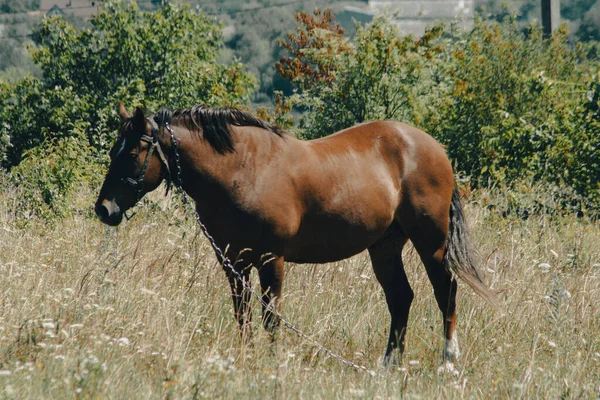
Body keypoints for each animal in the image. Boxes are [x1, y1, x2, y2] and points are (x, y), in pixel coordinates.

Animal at [95, 102, 496, 368]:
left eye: (132, 153)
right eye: (115, 150)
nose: (104, 209)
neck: (242, 170)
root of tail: (434, 148)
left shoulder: (272, 259)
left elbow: (270, 315)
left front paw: (272, 364)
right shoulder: (233, 262)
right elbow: (242, 313)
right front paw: (246, 358)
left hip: (432, 242)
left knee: (445, 292)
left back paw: (448, 361)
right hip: (384, 247)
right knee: (401, 298)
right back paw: (388, 366)